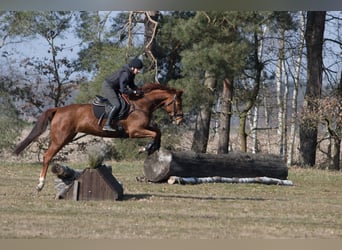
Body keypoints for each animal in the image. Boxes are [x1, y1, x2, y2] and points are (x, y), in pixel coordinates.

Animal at [13, 83, 183, 190]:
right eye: (178, 103)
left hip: (67, 137)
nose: (180, 120)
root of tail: (58, 109)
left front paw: (153, 147)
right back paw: (40, 184)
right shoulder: (134, 131)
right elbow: (155, 132)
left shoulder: (143, 128)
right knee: (47, 156)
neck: (141, 104)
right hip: (60, 138)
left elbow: (158, 131)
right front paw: (146, 148)